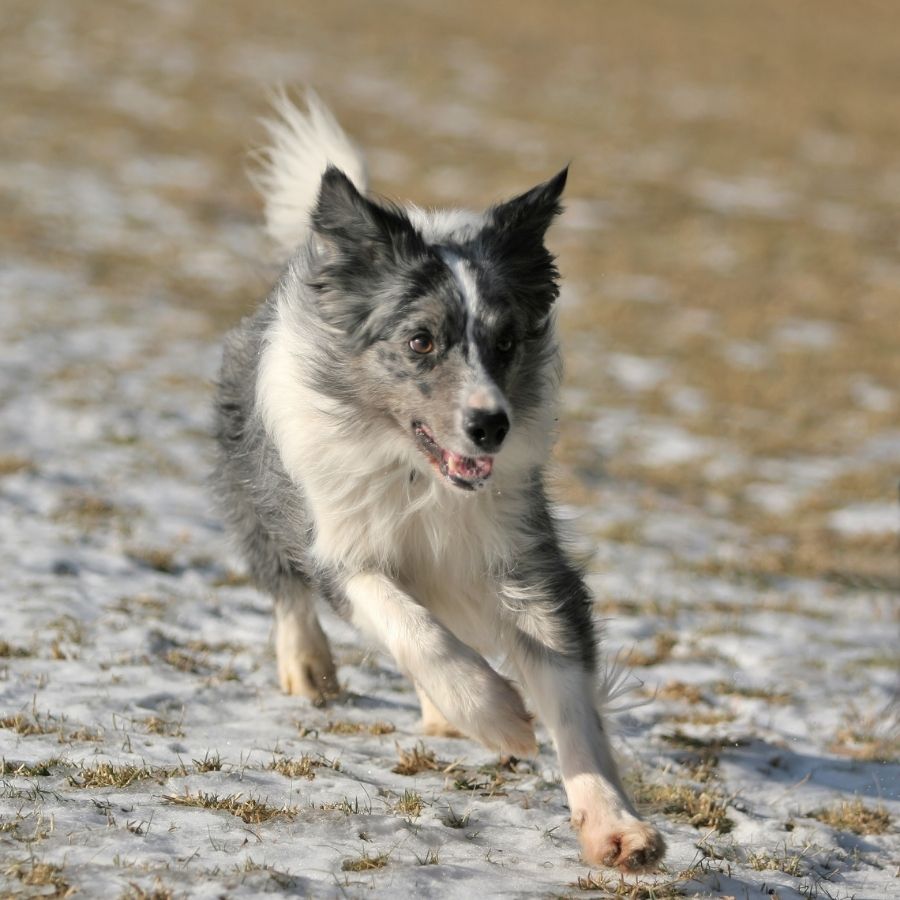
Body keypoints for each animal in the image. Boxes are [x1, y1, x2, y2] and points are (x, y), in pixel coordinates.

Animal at [211, 93, 660, 872]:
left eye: (505, 341)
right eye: (420, 340)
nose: (490, 426)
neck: (421, 477)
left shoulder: (522, 554)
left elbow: (569, 693)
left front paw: (617, 829)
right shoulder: (341, 540)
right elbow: (408, 624)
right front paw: (502, 718)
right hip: (255, 475)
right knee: (286, 582)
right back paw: (311, 670)